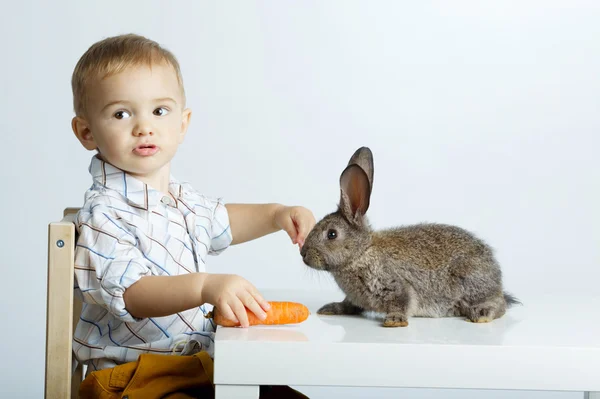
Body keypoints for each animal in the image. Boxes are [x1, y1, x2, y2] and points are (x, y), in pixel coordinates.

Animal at [300, 147, 520, 328]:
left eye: (332, 234)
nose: (303, 253)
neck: (361, 253)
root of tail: (495, 274)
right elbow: (349, 305)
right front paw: (331, 308)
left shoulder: (397, 286)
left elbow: (403, 302)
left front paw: (394, 321)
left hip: (471, 283)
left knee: (499, 305)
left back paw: (481, 314)